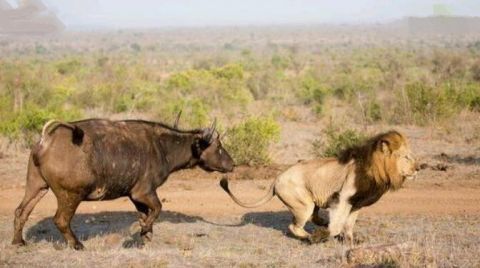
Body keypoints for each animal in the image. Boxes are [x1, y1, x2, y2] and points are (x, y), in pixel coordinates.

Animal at [12, 117, 233, 249]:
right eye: (219, 147)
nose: (232, 164)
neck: (162, 147)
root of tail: (46, 140)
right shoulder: (144, 192)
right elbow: (157, 209)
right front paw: (142, 232)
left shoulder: (136, 197)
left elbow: (146, 214)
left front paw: (146, 237)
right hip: (70, 195)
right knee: (60, 220)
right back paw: (77, 245)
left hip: (37, 187)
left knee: (21, 211)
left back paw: (18, 241)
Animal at [219, 130, 418, 245]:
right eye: (406, 157)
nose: (419, 168)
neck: (378, 170)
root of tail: (276, 179)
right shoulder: (343, 198)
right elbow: (337, 225)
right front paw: (327, 235)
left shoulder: (356, 204)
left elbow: (348, 225)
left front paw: (350, 241)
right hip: (303, 204)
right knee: (294, 226)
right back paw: (311, 237)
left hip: (312, 202)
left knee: (312, 218)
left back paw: (321, 224)